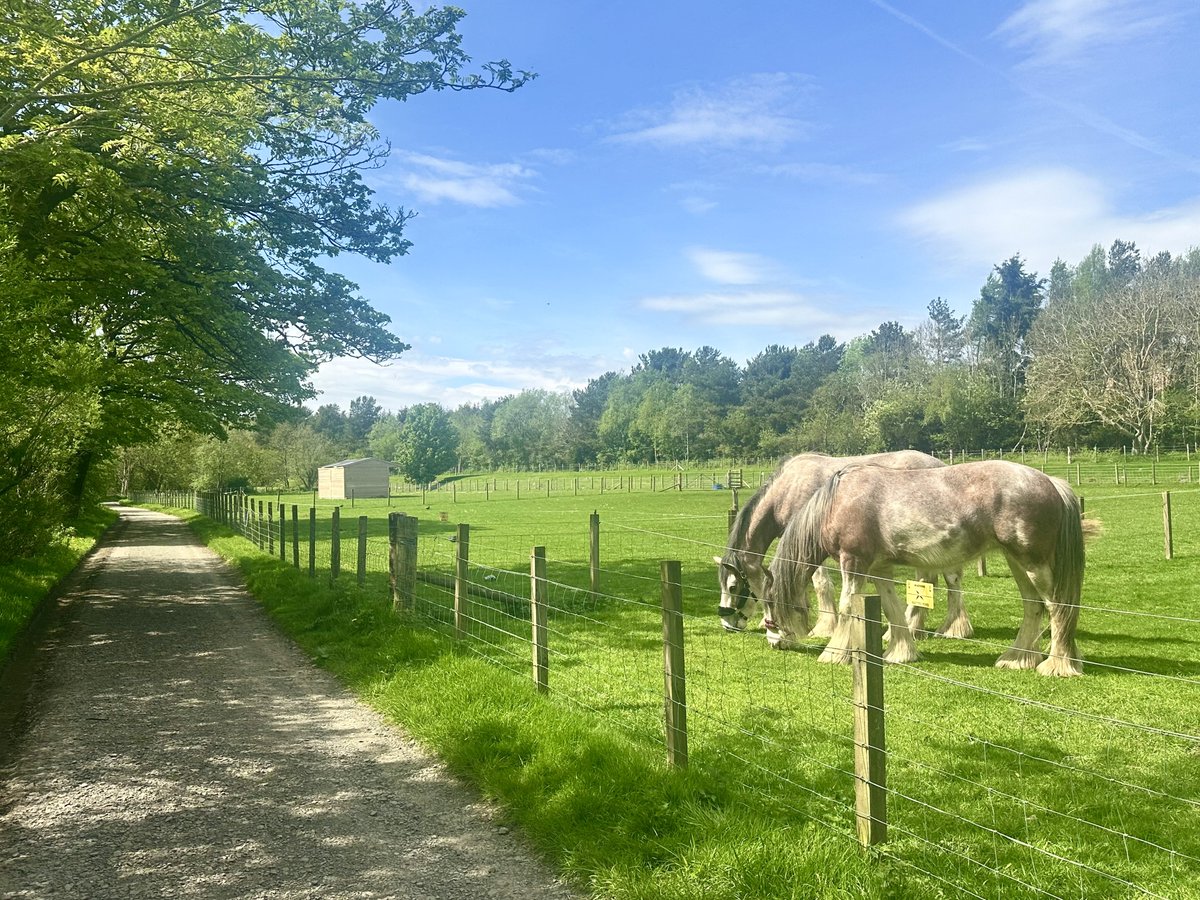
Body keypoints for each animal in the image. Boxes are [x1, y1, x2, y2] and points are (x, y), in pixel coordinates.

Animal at [763, 460, 1094, 681]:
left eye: (769, 605)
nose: (774, 642)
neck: (838, 501)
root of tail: (1050, 481)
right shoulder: (880, 569)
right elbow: (893, 610)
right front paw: (900, 653)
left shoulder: (853, 563)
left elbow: (847, 608)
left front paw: (834, 654)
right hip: (1017, 562)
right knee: (1033, 607)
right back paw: (1016, 658)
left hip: (1033, 563)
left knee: (1058, 607)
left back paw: (1057, 665)